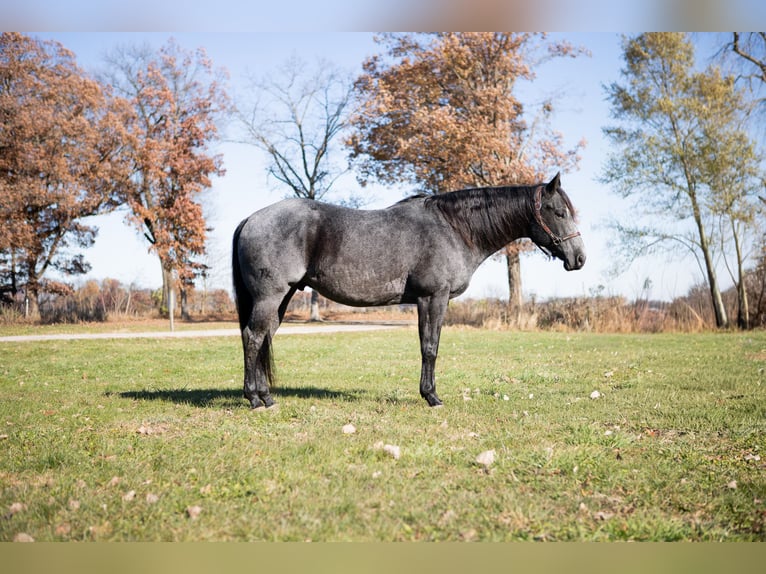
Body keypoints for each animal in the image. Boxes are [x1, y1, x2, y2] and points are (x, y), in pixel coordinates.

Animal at [232, 173, 585, 409]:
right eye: (559, 212)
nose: (579, 258)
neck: (453, 228)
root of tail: (251, 218)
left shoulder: (426, 301)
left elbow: (427, 345)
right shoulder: (433, 298)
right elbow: (430, 347)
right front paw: (432, 396)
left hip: (282, 297)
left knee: (263, 337)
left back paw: (267, 397)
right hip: (270, 296)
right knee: (253, 337)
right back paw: (254, 399)